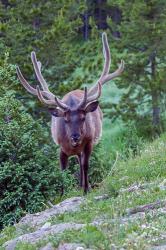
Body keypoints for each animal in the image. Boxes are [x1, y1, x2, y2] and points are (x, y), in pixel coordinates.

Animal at [16, 32, 124, 193]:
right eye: (65, 119)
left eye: (83, 117)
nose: (75, 137)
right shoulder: (61, 148)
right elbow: (62, 171)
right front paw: (63, 192)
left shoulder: (89, 143)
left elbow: (85, 165)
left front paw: (86, 189)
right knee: (78, 160)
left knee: (81, 162)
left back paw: (83, 185)